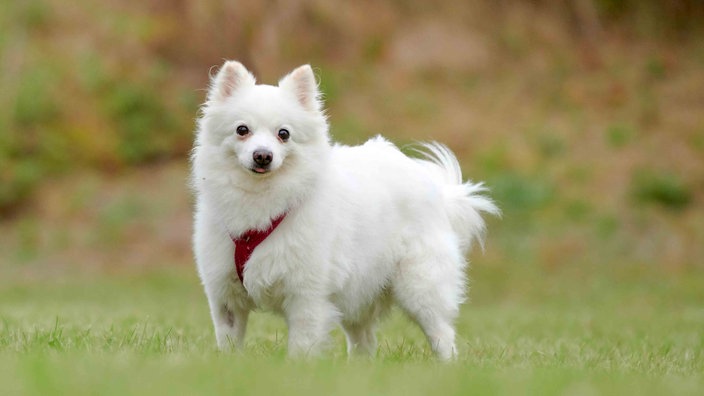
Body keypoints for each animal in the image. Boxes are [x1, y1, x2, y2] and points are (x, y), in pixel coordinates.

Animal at [190, 61, 498, 358]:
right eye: (242, 130)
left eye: (283, 134)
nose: (263, 156)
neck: (260, 199)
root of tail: (437, 190)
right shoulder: (225, 296)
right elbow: (229, 343)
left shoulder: (307, 296)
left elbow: (301, 346)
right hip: (359, 291)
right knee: (365, 342)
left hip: (420, 286)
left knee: (442, 333)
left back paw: (448, 364)